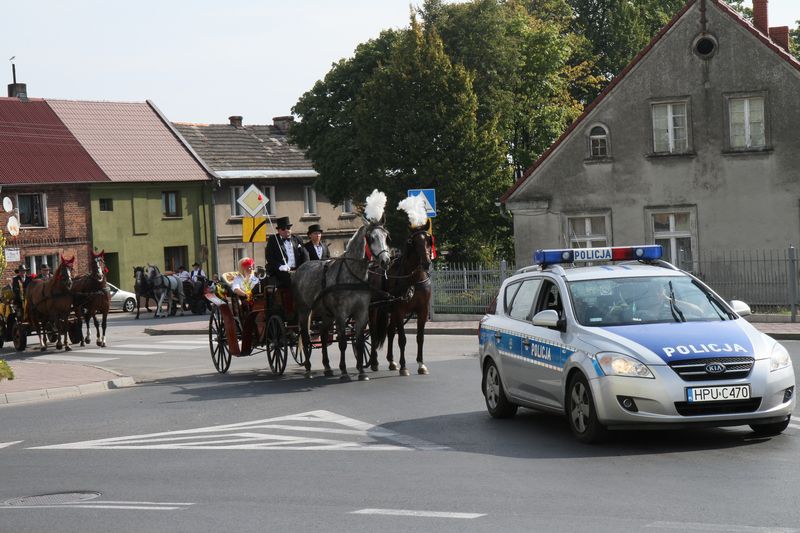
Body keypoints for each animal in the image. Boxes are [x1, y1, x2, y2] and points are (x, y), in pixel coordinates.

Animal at [296, 221, 392, 382]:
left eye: (386, 236)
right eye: (371, 238)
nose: (385, 261)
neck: (353, 276)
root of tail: (300, 268)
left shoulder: (362, 313)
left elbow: (359, 342)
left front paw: (361, 372)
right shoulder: (341, 314)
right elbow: (342, 343)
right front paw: (344, 372)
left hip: (327, 314)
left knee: (323, 334)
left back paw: (327, 367)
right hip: (304, 312)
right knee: (305, 337)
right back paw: (308, 369)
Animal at [368, 224, 432, 374]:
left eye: (428, 240)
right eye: (414, 242)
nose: (427, 263)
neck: (414, 279)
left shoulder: (423, 311)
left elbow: (420, 338)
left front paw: (421, 364)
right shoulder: (400, 310)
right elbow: (402, 339)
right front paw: (404, 367)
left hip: (390, 311)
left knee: (390, 332)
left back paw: (391, 361)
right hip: (373, 309)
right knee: (373, 332)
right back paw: (374, 361)